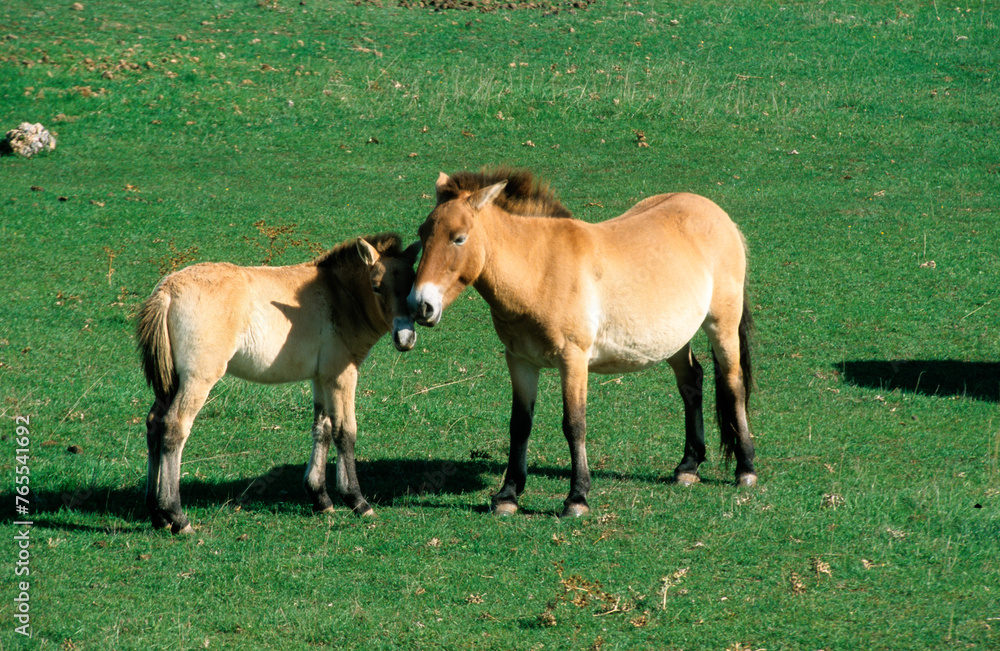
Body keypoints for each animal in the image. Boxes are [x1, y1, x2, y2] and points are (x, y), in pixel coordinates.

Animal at [137, 233, 420, 533]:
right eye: (376, 287)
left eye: (411, 287)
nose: (405, 338)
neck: (339, 294)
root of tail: (168, 290)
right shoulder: (342, 376)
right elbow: (345, 432)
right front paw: (357, 501)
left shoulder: (321, 378)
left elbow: (322, 428)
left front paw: (320, 498)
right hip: (197, 379)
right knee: (174, 427)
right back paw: (177, 516)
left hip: (171, 382)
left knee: (154, 424)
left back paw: (158, 514)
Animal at [408, 169, 756, 518]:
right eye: (423, 234)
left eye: (459, 238)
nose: (420, 306)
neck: (540, 271)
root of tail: (719, 216)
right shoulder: (520, 361)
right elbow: (520, 424)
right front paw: (508, 495)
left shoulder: (573, 359)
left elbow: (574, 424)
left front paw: (577, 498)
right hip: (674, 339)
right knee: (691, 382)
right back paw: (688, 466)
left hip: (722, 326)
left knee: (733, 384)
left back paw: (746, 468)